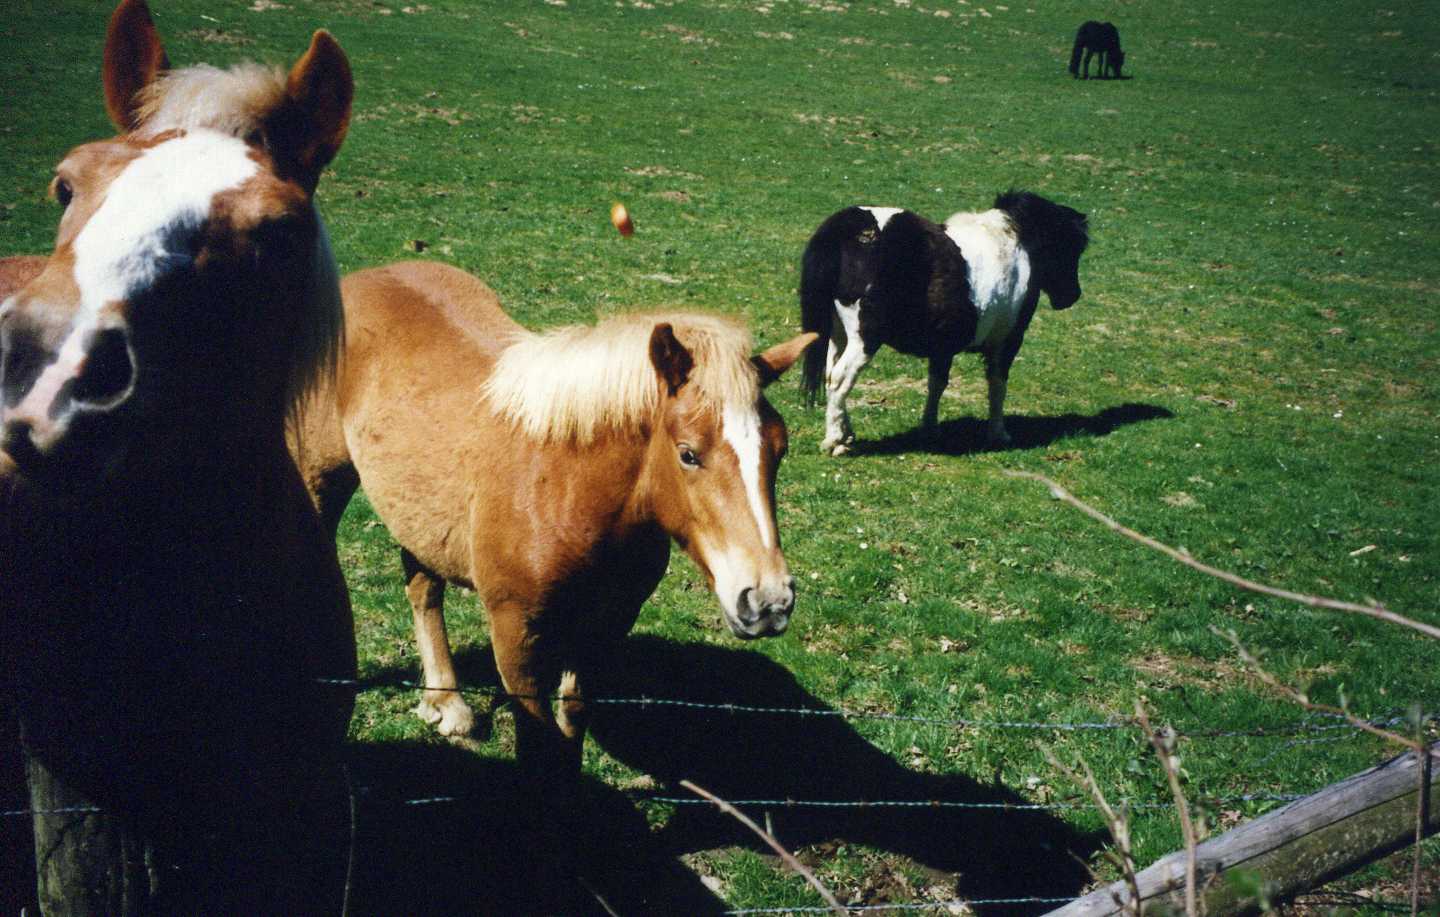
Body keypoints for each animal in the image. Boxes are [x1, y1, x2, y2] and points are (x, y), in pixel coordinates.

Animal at [800, 190, 1088, 454]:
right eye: (1070, 247)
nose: (1072, 296)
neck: (1013, 244)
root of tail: (846, 227)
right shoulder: (1007, 342)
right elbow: (997, 385)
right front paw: (998, 433)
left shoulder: (943, 346)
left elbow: (936, 384)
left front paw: (930, 429)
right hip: (863, 340)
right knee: (840, 379)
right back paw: (835, 441)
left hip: (838, 334)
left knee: (831, 375)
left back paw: (845, 434)